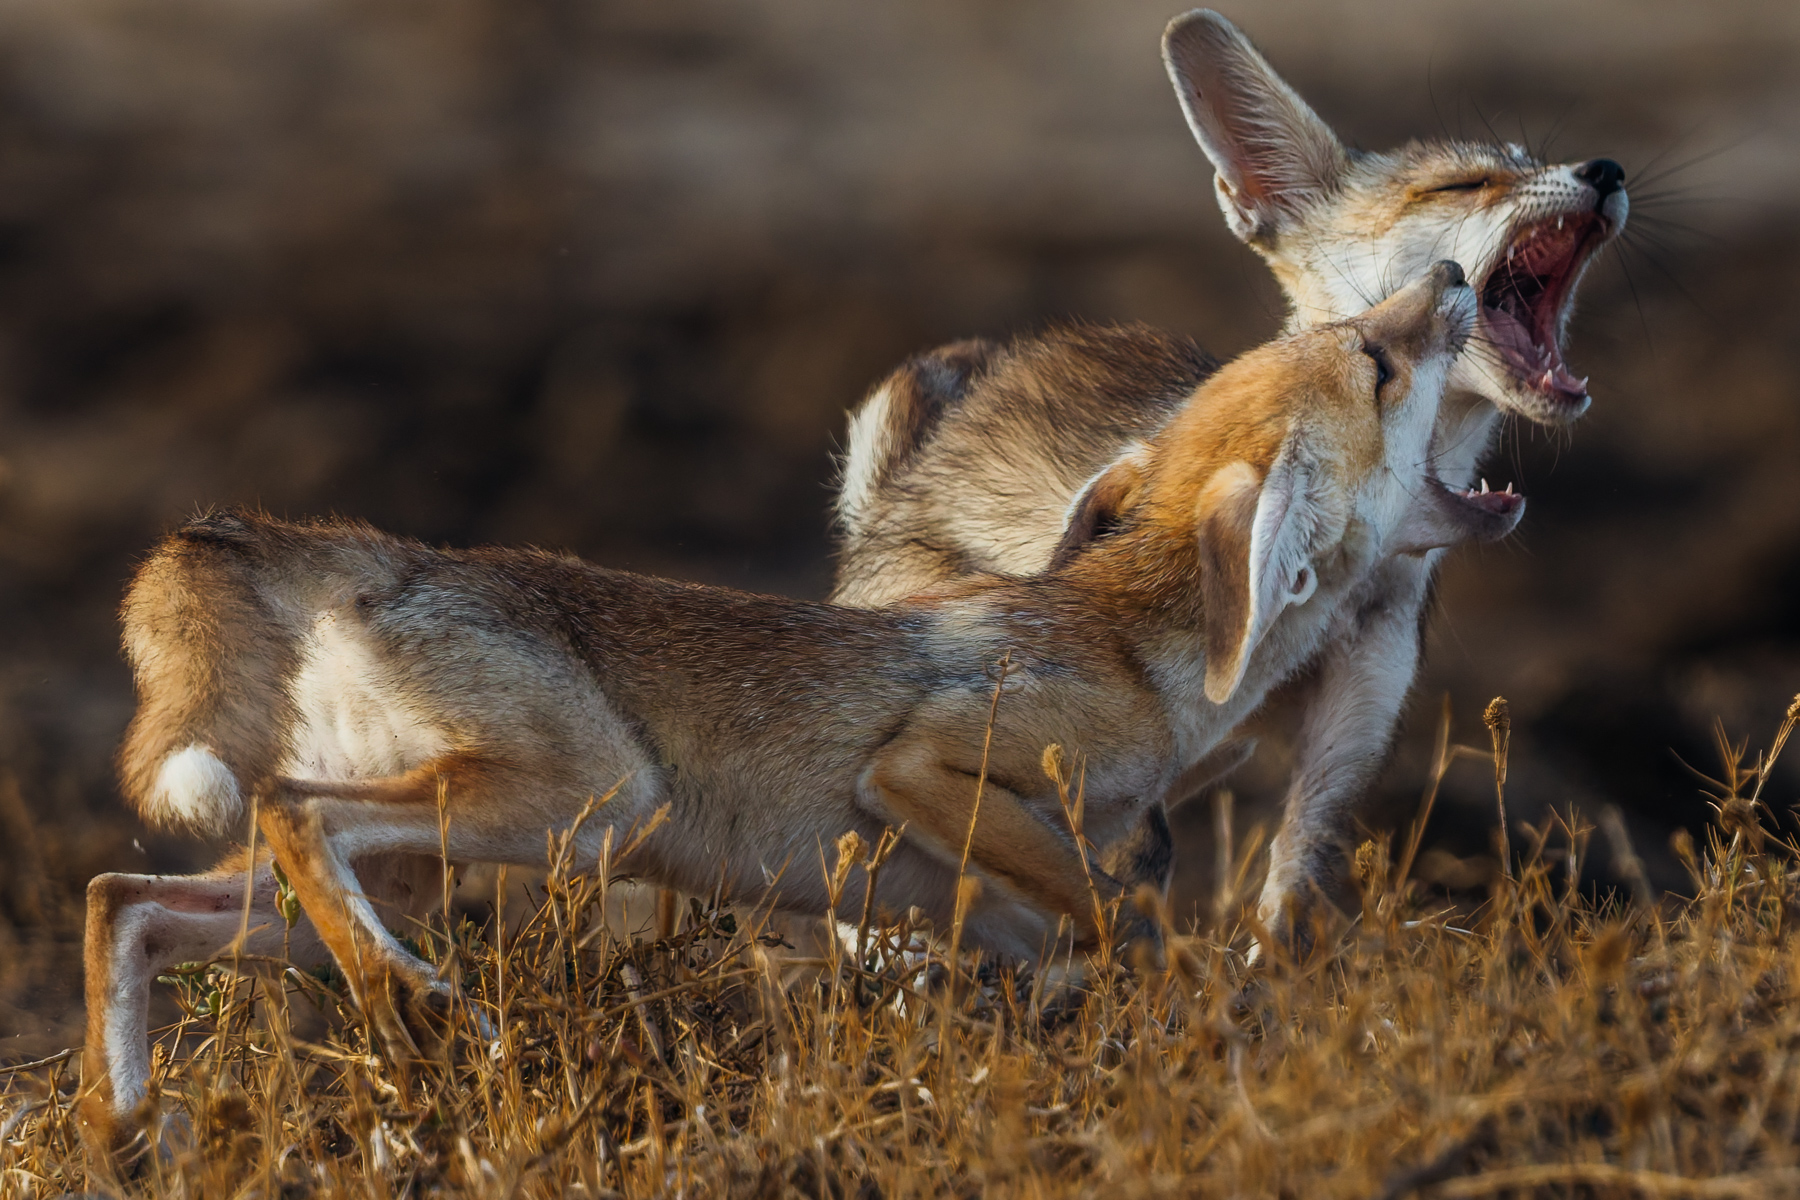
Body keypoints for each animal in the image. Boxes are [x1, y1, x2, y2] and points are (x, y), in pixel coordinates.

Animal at [76, 265, 1513, 1164]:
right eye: (1377, 362)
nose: (1453, 272)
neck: (1123, 641)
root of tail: (367, 549)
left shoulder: (983, 906)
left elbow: (1086, 933)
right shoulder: (926, 772)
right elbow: (1125, 915)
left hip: (419, 868)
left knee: (123, 896)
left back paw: (126, 1124)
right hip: (582, 811)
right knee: (285, 813)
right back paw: (415, 1009)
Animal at [832, 9, 1627, 933]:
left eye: (1528, 159)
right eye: (1462, 185)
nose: (1606, 169)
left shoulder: (1346, 736)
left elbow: (1288, 904)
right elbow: (1129, 861)